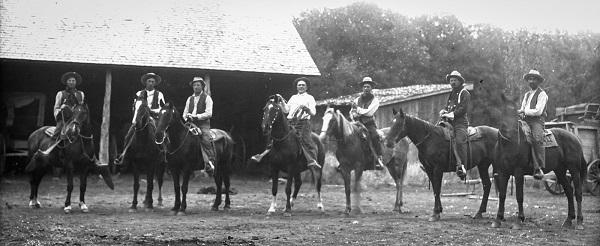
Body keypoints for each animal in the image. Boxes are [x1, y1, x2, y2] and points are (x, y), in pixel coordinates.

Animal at [492, 94, 584, 231]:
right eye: (503, 111)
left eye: (514, 112)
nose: (509, 132)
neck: (508, 145)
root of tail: (574, 137)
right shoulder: (502, 172)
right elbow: (502, 195)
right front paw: (498, 220)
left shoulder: (518, 172)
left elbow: (519, 195)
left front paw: (519, 220)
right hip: (560, 171)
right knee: (568, 190)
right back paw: (568, 220)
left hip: (574, 169)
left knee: (577, 192)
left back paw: (579, 222)